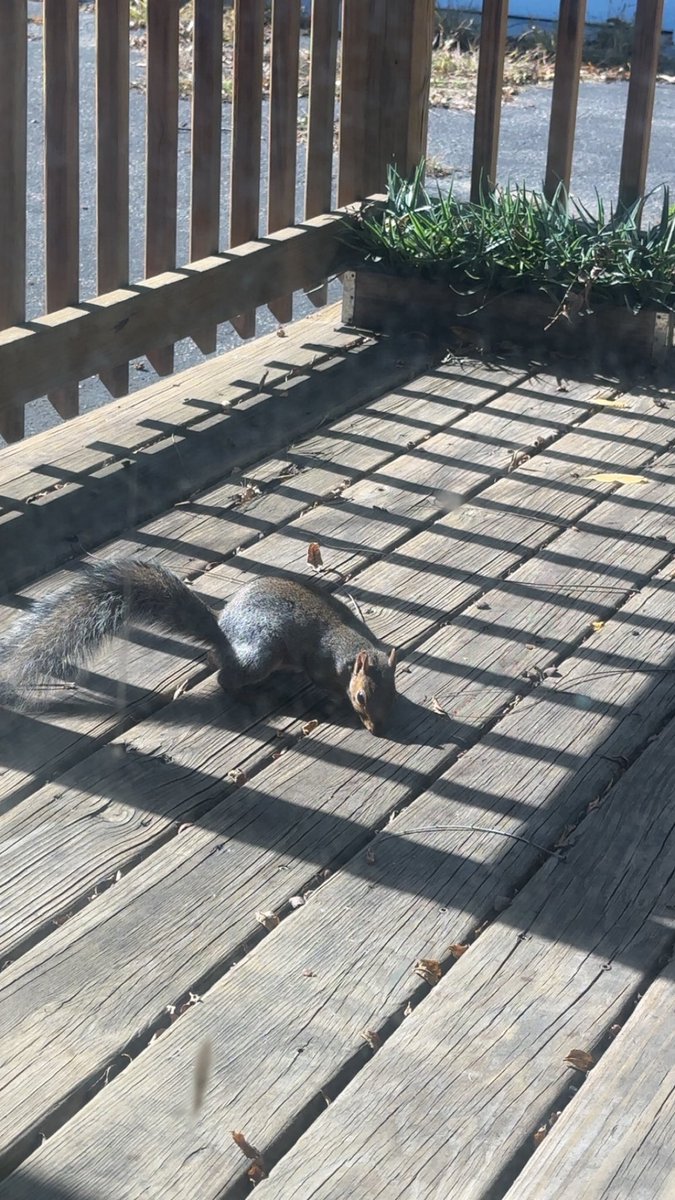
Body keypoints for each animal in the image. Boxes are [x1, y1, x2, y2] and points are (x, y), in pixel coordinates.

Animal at [0, 558, 398, 735]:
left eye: (393, 695)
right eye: (361, 696)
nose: (378, 729)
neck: (352, 650)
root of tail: (225, 636)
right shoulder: (320, 662)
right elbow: (321, 680)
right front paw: (335, 701)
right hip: (263, 652)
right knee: (225, 678)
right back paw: (249, 694)